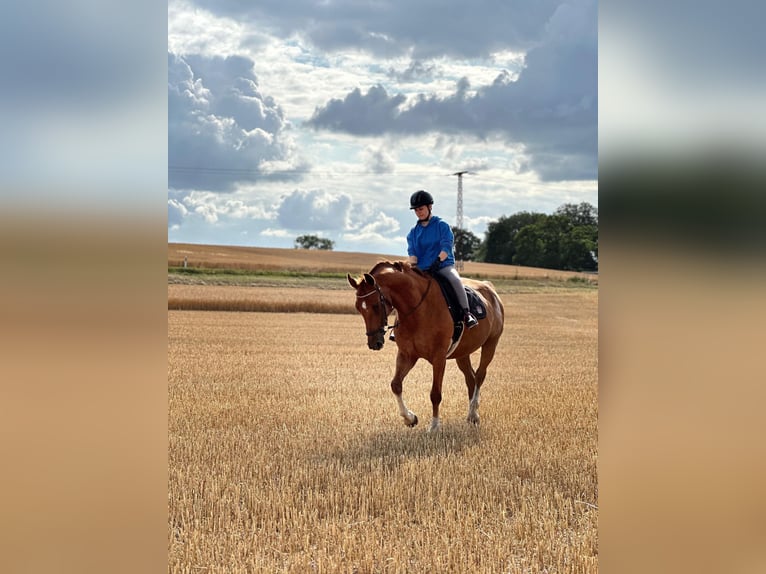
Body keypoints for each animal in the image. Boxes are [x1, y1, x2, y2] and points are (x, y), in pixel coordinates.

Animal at [347, 261, 505, 432]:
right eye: (358, 307)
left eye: (376, 305)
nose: (374, 343)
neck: (418, 310)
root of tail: (490, 289)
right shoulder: (407, 355)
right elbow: (396, 385)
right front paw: (410, 418)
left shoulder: (439, 358)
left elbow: (435, 394)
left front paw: (434, 426)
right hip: (463, 353)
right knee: (471, 378)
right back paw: (471, 415)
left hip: (491, 343)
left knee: (480, 375)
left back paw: (474, 412)